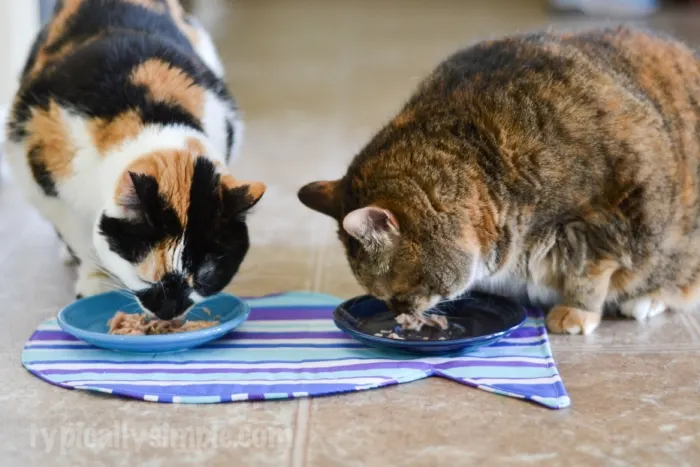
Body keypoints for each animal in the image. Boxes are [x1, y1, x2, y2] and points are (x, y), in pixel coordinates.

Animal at [4, 0, 266, 320]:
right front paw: (96, 281)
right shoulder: (39, 175)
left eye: (206, 275)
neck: (152, 117)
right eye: (146, 276)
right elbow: (79, 234)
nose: (170, 312)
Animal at [298, 27, 700, 336]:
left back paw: (646, 299)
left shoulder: (604, 216)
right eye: (380, 297)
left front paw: (575, 312)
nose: (399, 313)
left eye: (397, 292)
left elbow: (589, 272)